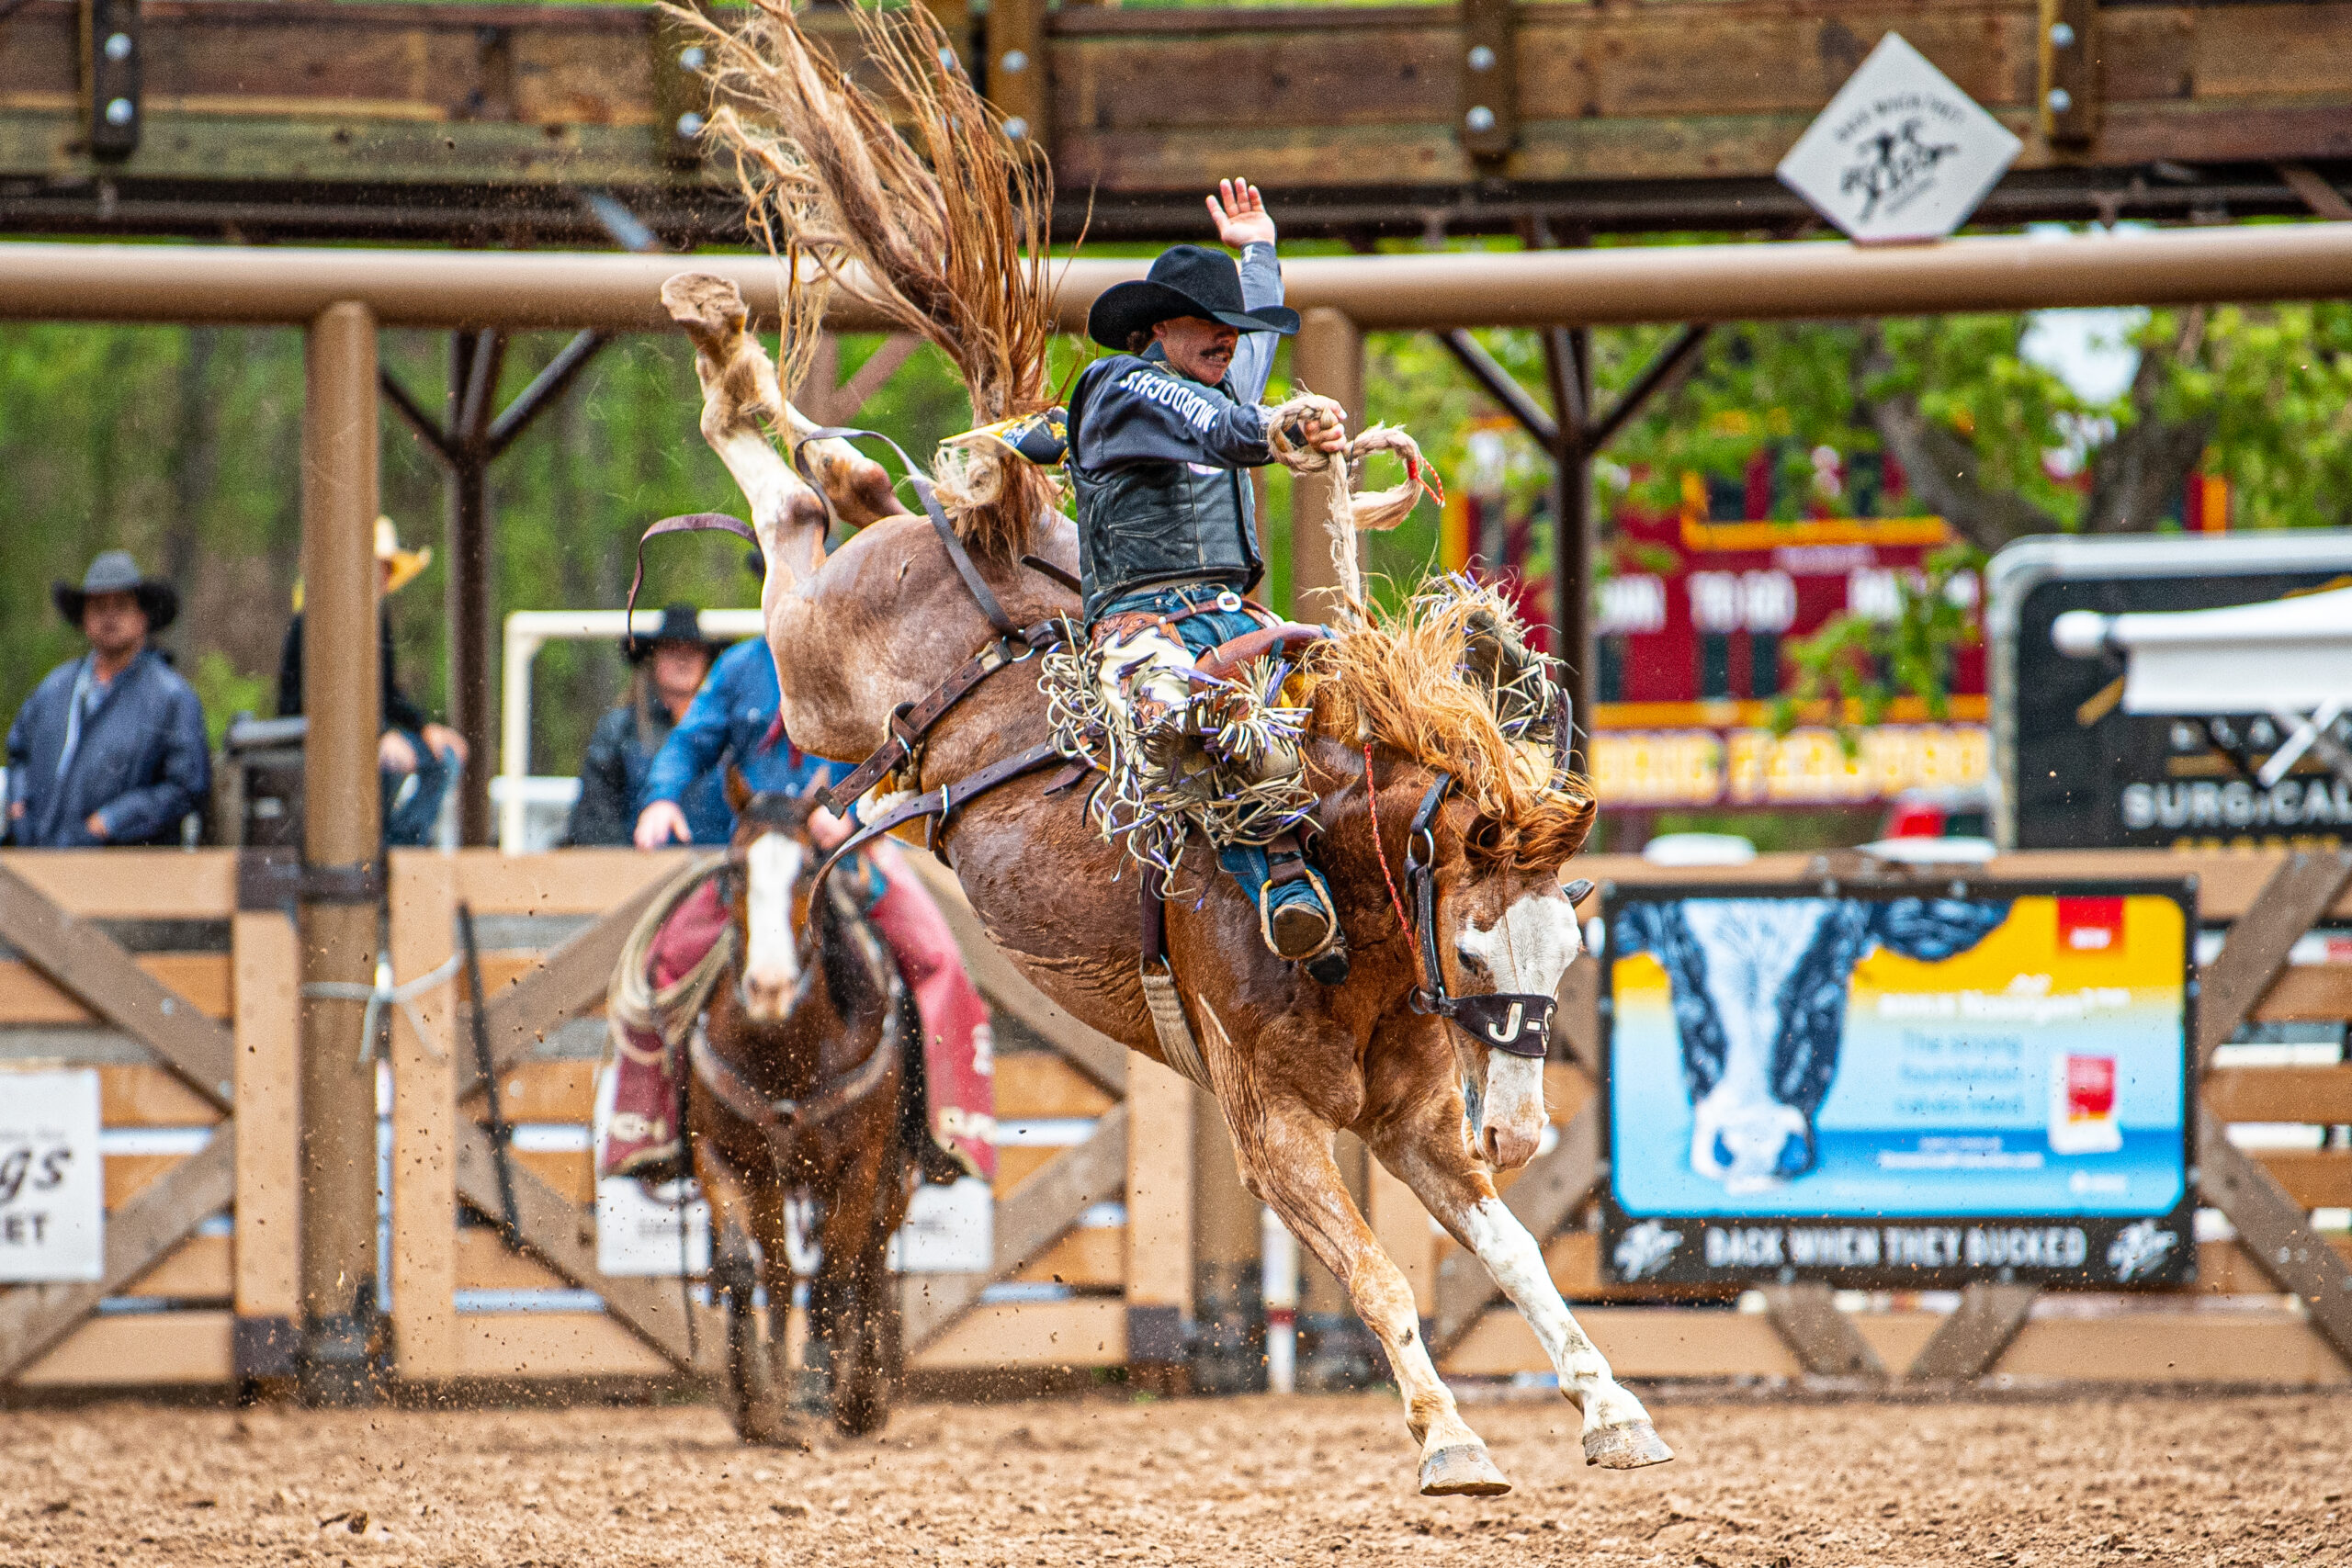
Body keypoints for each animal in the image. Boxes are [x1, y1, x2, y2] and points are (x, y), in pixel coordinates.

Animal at [686, 775, 917, 1448]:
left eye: (812, 868)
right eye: (734, 868)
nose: (768, 986)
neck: (786, 1049)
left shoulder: (863, 1163)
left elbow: (839, 1274)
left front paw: (829, 1388)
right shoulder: (723, 1154)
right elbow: (742, 1267)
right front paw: (755, 1400)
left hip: (893, 1176)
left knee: (865, 1265)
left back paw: (859, 1391)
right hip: (775, 1181)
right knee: (784, 1271)